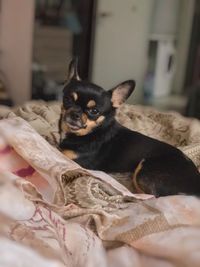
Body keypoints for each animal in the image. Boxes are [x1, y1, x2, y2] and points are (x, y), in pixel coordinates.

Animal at [59, 59, 200, 198]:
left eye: (94, 111)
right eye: (67, 99)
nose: (75, 114)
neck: (93, 132)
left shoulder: (72, 159)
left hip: (144, 169)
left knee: (150, 196)